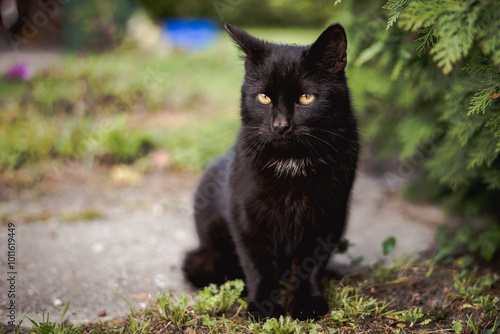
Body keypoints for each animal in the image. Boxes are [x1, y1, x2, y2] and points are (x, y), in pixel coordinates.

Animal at [184, 23, 360, 320]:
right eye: (263, 97)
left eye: (306, 97)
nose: (280, 125)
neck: (291, 162)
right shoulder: (246, 216)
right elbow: (259, 264)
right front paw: (263, 305)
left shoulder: (328, 214)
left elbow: (309, 263)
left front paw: (306, 302)